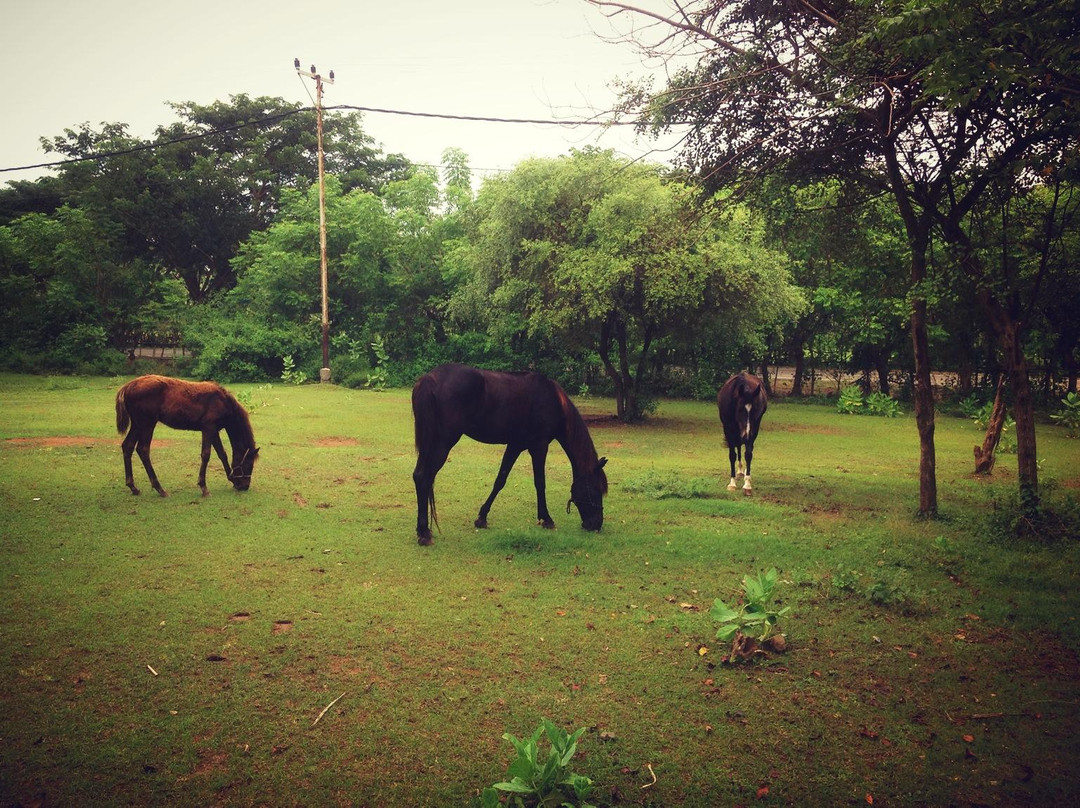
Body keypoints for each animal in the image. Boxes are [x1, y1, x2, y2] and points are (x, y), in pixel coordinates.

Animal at [115, 375, 259, 497]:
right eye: (249, 464)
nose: (245, 486)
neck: (222, 401)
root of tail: (128, 386)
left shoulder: (214, 431)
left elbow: (222, 454)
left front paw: (231, 478)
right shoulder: (208, 429)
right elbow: (206, 455)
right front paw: (204, 487)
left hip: (137, 425)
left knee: (128, 446)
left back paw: (133, 487)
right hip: (147, 424)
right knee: (143, 450)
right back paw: (160, 489)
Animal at [411, 363, 608, 545]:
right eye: (596, 488)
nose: (596, 524)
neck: (553, 401)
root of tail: (429, 379)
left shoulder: (515, 445)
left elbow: (500, 480)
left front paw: (482, 517)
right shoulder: (539, 446)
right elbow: (540, 483)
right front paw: (546, 518)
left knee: (419, 476)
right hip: (443, 443)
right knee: (424, 477)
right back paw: (424, 532)